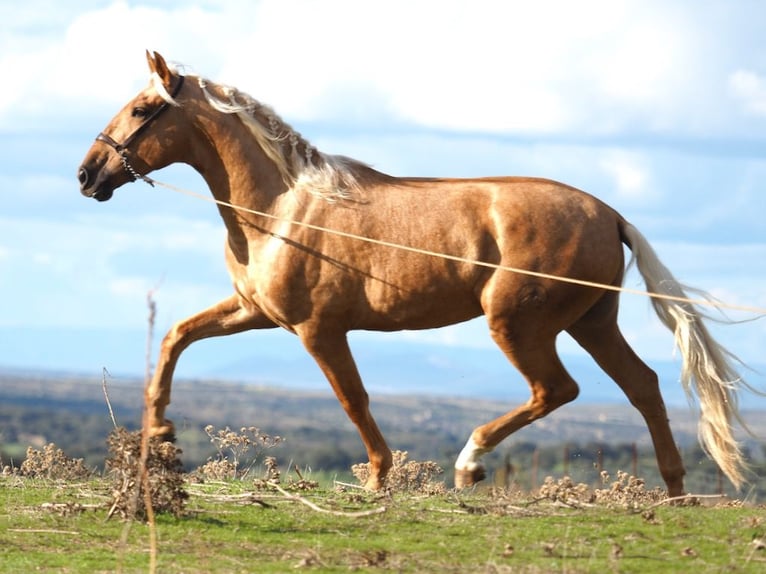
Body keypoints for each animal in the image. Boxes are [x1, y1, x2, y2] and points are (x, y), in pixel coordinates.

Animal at [79, 51, 756, 498]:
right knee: (643, 386)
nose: (87, 175)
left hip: (519, 323)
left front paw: (379, 477)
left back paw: (470, 463)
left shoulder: (317, 328)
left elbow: (353, 398)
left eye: (143, 108)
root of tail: (611, 215)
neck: (279, 208)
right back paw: (674, 490)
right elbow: (176, 337)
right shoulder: (254, 312)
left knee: (557, 390)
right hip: (592, 322)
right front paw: (161, 433)